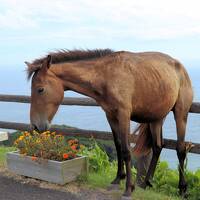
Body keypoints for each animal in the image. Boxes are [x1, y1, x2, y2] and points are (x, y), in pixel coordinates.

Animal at [25, 49, 194, 198]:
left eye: (40, 90)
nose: (35, 126)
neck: (106, 76)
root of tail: (180, 67)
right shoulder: (111, 116)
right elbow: (118, 146)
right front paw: (118, 178)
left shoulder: (123, 115)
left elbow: (126, 150)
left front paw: (128, 188)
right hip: (156, 118)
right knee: (158, 146)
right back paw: (146, 183)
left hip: (181, 114)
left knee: (180, 149)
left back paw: (182, 189)